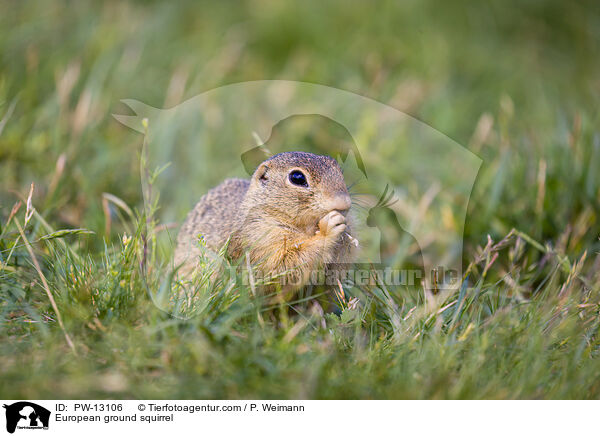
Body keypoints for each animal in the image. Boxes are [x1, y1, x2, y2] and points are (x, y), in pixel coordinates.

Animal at [173, 151, 354, 292]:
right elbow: (282, 266)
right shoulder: (259, 237)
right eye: (297, 177)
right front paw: (328, 229)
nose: (344, 203)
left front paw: (344, 234)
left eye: (339, 170)